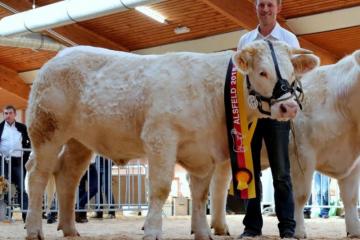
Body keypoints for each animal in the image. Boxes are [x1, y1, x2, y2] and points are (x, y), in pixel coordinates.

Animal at [24, 40, 318, 239]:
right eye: (262, 73)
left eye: (293, 74)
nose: (289, 107)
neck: (214, 93)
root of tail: (58, 56)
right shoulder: (160, 138)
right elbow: (161, 188)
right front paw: (153, 231)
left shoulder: (203, 153)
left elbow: (201, 195)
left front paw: (203, 233)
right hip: (46, 130)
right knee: (37, 175)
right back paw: (34, 229)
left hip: (80, 141)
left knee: (68, 177)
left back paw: (70, 229)